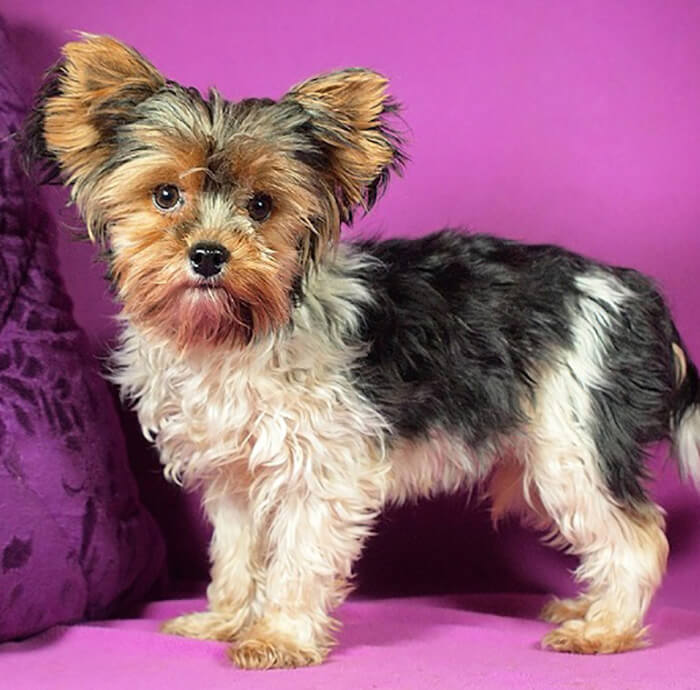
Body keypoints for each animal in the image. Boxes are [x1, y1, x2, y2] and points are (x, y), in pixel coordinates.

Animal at [23, 34, 700, 669]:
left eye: (262, 206)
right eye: (165, 195)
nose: (209, 255)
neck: (236, 331)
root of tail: (637, 294)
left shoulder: (319, 471)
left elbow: (296, 561)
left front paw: (277, 639)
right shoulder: (235, 476)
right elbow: (237, 554)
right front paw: (225, 620)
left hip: (574, 444)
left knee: (636, 537)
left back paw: (605, 630)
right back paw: (589, 609)